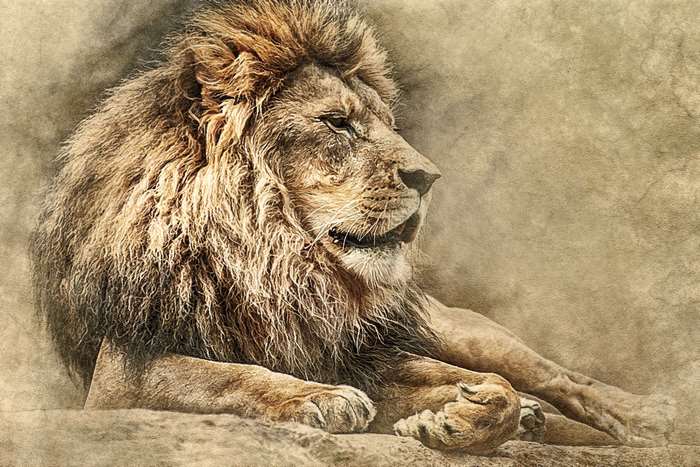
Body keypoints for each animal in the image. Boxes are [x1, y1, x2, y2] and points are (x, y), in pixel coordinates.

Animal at [30, 0, 675, 453]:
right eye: (337, 123)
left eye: (385, 123)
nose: (428, 176)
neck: (275, 261)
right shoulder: (122, 374)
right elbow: (220, 376)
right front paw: (321, 398)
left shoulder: (366, 350)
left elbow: (497, 385)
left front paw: (465, 416)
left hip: (459, 326)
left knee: (556, 376)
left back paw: (646, 415)